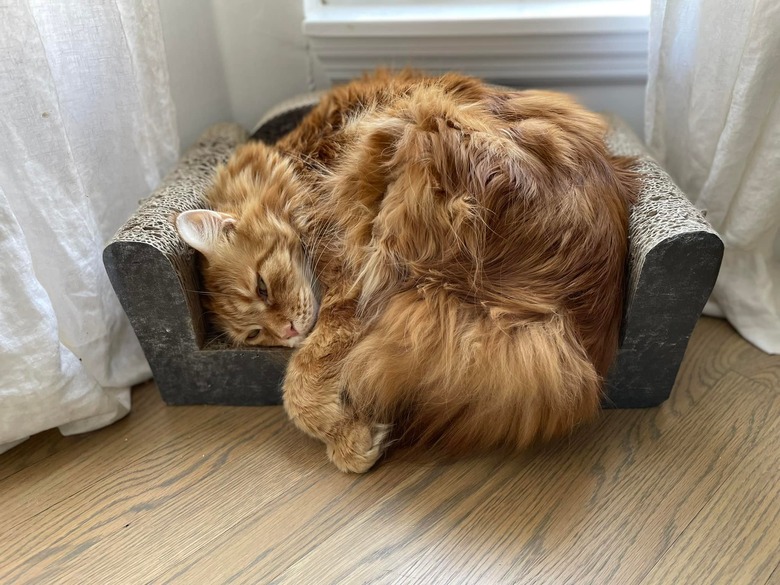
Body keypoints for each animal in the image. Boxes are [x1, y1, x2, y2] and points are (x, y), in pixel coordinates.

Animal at [177, 69, 640, 470]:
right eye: (256, 335)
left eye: (262, 287)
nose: (287, 332)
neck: (293, 169)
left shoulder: (343, 278)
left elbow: (300, 386)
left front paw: (351, 439)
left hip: (405, 151)